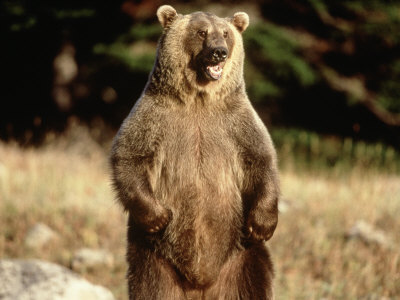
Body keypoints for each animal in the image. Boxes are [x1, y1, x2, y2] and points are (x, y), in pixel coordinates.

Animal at [109, 4, 278, 300]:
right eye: (201, 32)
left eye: (225, 33)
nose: (219, 51)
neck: (199, 98)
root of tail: (201, 283)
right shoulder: (153, 117)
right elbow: (130, 157)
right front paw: (159, 217)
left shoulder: (237, 122)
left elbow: (259, 159)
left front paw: (262, 224)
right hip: (153, 259)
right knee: (151, 287)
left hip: (242, 257)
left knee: (253, 282)